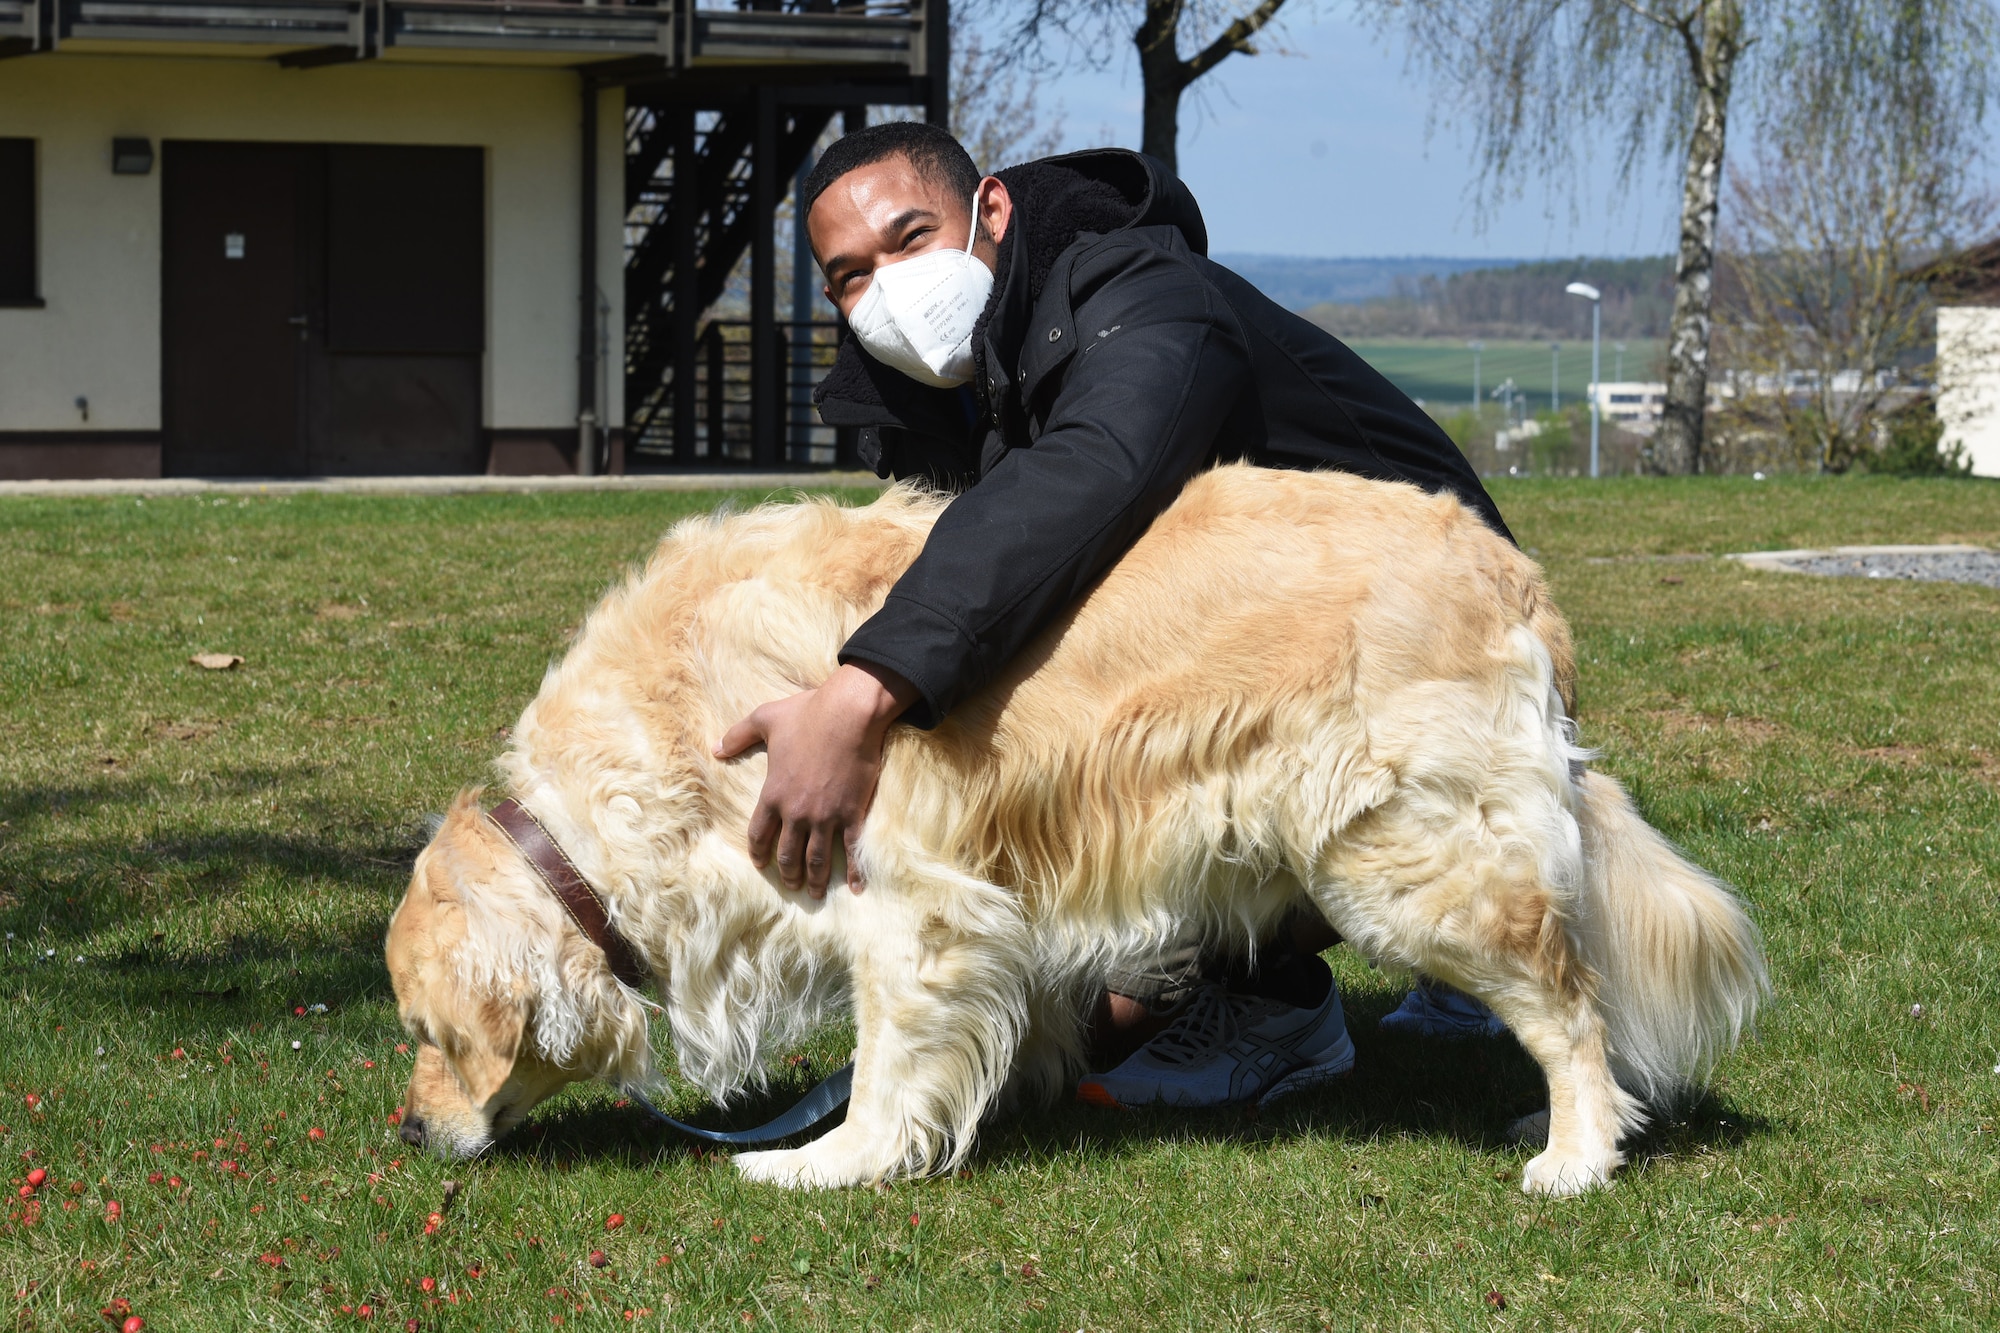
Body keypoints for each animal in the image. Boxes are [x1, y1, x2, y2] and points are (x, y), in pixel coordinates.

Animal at [386, 462, 1768, 1184]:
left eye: (428, 1037)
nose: (406, 1125)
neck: (663, 745)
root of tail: (1508, 569)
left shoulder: (900, 896)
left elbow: (887, 1061)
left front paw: (831, 1160)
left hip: (1407, 859)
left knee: (1567, 1003)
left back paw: (1574, 1151)